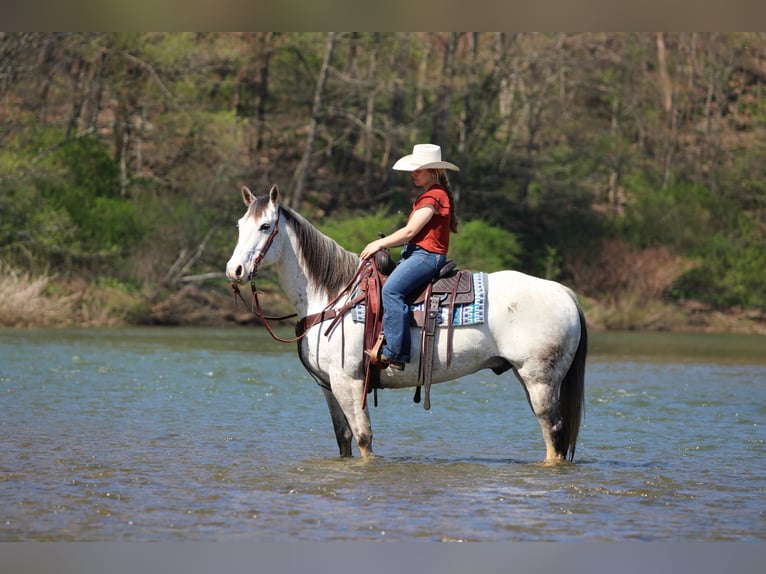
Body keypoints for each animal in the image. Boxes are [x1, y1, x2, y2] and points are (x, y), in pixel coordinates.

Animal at [226, 184, 587, 463]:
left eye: (265, 226)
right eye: (240, 225)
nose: (235, 271)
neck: (332, 295)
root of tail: (566, 293)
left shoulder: (349, 382)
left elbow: (363, 438)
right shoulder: (328, 386)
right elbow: (344, 439)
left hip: (540, 380)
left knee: (554, 433)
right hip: (529, 378)